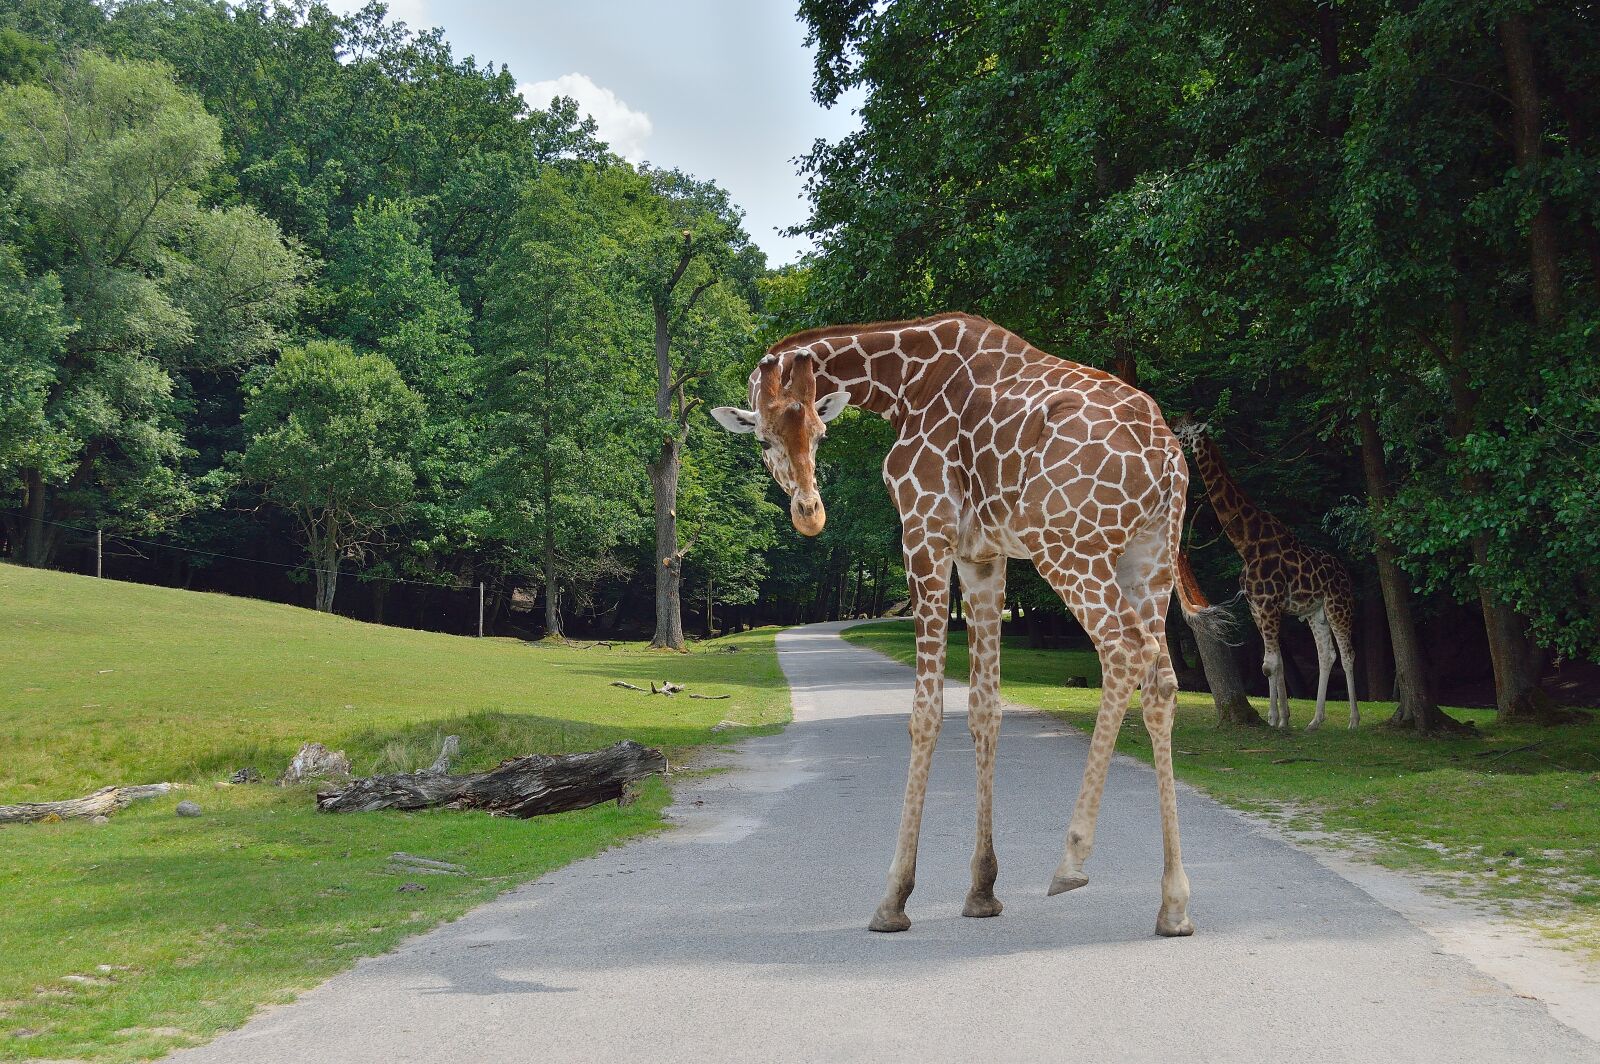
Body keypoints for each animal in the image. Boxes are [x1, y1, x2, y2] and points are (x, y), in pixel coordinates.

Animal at [712, 312, 1227, 937]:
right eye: (765, 438)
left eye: (820, 432)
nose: (810, 514)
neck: (904, 384)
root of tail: (1168, 460)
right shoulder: (983, 555)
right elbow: (985, 709)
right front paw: (982, 891)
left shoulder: (924, 532)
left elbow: (926, 713)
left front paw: (894, 899)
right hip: (1149, 554)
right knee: (1163, 681)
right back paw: (1174, 905)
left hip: (1068, 546)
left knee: (1124, 651)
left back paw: (1071, 861)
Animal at [1169, 416, 1359, 731]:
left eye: (1181, 432)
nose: (1169, 442)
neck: (1246, 543)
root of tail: (1346, 573)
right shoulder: (1257, 606)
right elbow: (1274, 663)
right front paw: (1279, 717)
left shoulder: (1269, 604)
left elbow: (1270, 664)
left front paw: (1278, 720)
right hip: (1315, 612)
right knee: (1326, 655)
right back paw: (1315, 720)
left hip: (1338, 605)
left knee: (1347, 654)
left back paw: (1353, 720)